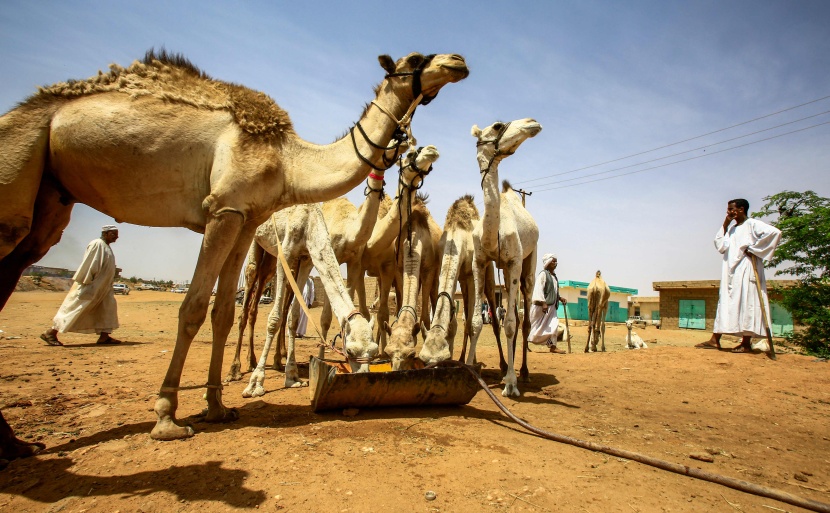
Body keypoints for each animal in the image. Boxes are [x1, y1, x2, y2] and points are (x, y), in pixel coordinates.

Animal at [224, 144, 438, 380]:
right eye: (410, 154)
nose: (431, 150)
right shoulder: (344, 258)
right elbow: (329, 316)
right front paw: (324, 356)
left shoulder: (372, 264)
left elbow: (373, 311)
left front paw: (374, 354)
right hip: (258, 244)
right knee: (251, 290)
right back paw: (238, 367)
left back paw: (275, 360)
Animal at [382, 192, 446, 368]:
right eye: (387, 353)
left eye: (411, 355)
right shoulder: (399, 268)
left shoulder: (428, 270)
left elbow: (425, 317)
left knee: (434, 296)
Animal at [420, 194, 504, 366]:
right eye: (424, 361)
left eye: (440, 361)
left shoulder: (472, 276)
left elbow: (473, 322)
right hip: (463, 282)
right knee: (467, 318)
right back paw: (465, 359)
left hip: (488, 275)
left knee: (493, 320)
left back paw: (503, 364)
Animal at [464, 119, 544, 396]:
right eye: (498, 126)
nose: (532, 123)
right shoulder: (480, 262)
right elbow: (476, 321)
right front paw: (469, 369)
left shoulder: (514, 262)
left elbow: (510, 323)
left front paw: (510, 384)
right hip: (500, 275)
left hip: (528, 264)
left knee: (524, 319)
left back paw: (523, 372)